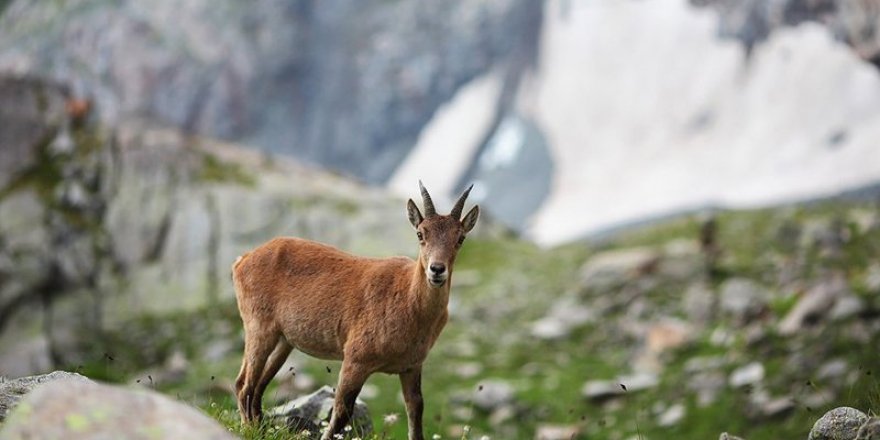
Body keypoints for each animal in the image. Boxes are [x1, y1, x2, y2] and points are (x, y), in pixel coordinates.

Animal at [234, 181, 478, 440]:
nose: (437, 269)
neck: (411, 304)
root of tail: (243, 259)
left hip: (284, 340)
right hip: (259, 327)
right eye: (420, 234)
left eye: (460, 238)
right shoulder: (355, 359)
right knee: (243, 384)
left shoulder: (411, 366)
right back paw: (249, 428)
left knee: (258, 385)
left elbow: (416, 410)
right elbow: (342, 410)